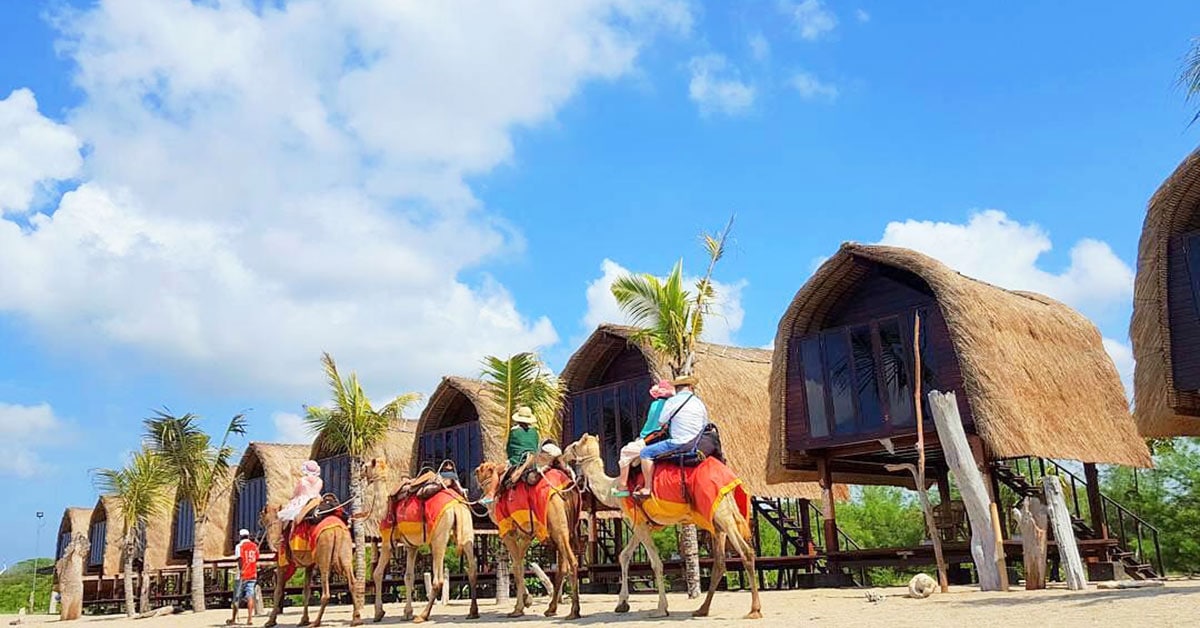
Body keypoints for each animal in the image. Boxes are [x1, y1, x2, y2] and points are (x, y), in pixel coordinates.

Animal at [472, 461, 580, 619]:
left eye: (480, 469)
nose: (474, 471)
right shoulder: (526, 534)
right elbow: (519, 565)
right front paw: (526, 600)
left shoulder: (507, 531)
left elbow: (516, 566)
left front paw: (518, 608)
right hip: (569, 527)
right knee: (562, 567)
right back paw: (551, 609)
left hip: (557, 525)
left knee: (572, 561)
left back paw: (574, 611)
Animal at [559, 432, 763, 619]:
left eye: (575, 445)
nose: (562, 454)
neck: (612, 489)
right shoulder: (644, 523)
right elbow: (624, 555)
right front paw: (622, 604)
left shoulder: (638, 522)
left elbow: (656, 563)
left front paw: (660, 609)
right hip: (717, 515)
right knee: (720, 562)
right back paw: (702, 609)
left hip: (720, 512)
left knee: (746, 552)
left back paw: (754, 610)